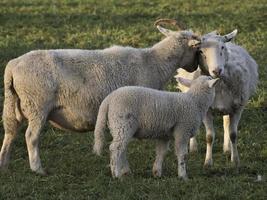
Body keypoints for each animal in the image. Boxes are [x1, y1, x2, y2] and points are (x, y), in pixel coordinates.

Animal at [0, 19, 202, 175]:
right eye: (197, 50)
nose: (194, 67)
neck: (153, 62)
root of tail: (13, 64)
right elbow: (123, 142)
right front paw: (124, 170)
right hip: (37, 105)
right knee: (31, 137)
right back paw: (38, 169)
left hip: (14, 105)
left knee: (10, 132)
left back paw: (4, 165)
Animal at [177, 30, 258, 167]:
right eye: (200, 51)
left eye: (222, 47)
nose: (217, 70)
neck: (218, 84)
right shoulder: (207, 111)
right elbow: (209, 137)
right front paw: (208, 162)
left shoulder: (237, 108)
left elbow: (233, 134)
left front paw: (235, 160)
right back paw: (193, 147)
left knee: (226, 123)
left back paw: (227, 149)